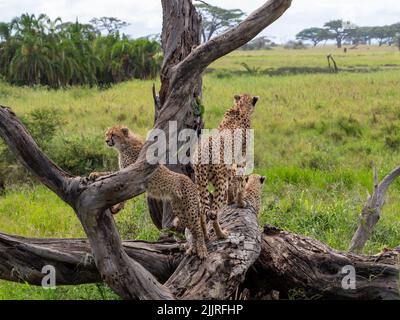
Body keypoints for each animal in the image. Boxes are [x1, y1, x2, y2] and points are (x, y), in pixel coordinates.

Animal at [89, 125, 208, 260]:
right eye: (106, 134)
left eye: (113, 134)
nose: (106, 141)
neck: (124, 145)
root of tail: (191, 181)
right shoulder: (126, 179)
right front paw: (117, 207)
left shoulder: (129, 174)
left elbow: (110, 173)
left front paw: (96, 174)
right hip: (181, 210)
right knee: (192, 229)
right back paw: (193, 248)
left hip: (190, 209)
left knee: (198, 228)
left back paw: (202, 250)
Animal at [195, 94, 260, 239]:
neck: (239, 108)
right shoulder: (241, 157)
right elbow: (241, 180)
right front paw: (241, 203)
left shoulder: (229, 165)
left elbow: (233, 180)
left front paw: (231, 201)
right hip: (219, 182)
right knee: (213, 212)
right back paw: (221, 234)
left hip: (201, 183)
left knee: (202, 210)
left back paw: (205, 236)